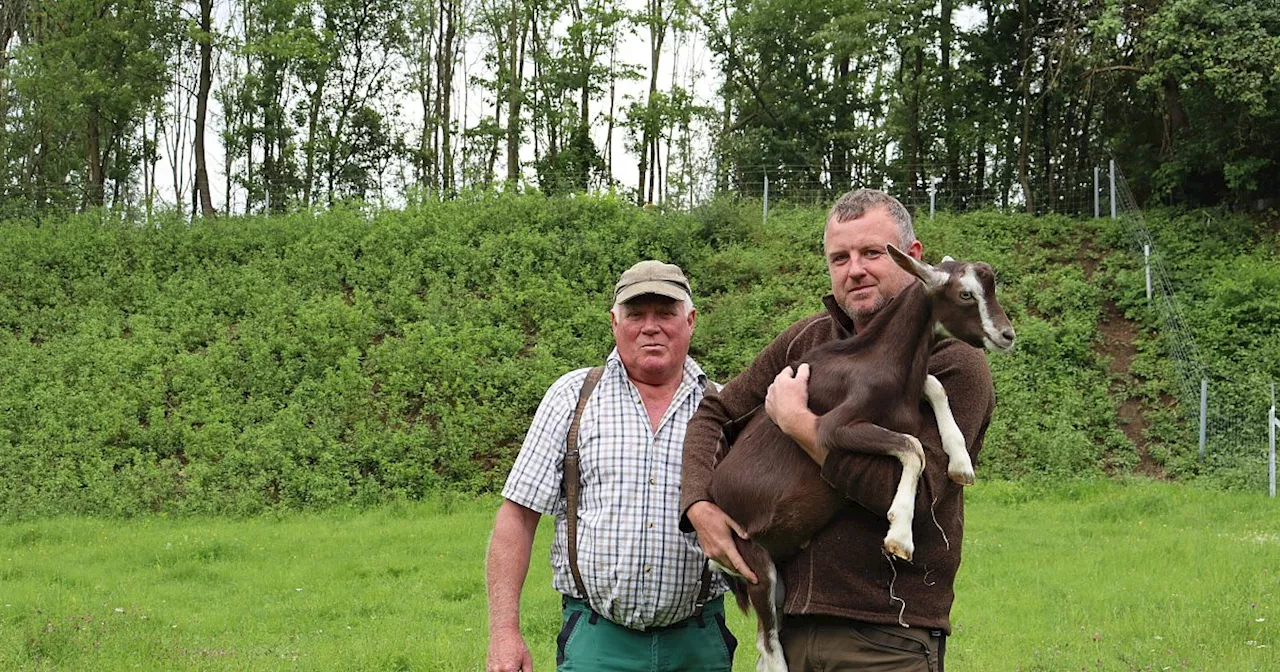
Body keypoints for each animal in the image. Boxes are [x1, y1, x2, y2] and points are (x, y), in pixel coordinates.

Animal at [706, 245, 1013, 670]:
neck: (878, 361)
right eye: (966, 294)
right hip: (752, 559)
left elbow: (935, 386)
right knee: (770, 650)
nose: (1007, 334)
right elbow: (913, 447)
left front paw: (960, 462)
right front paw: (900, 536)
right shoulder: (833, 429)